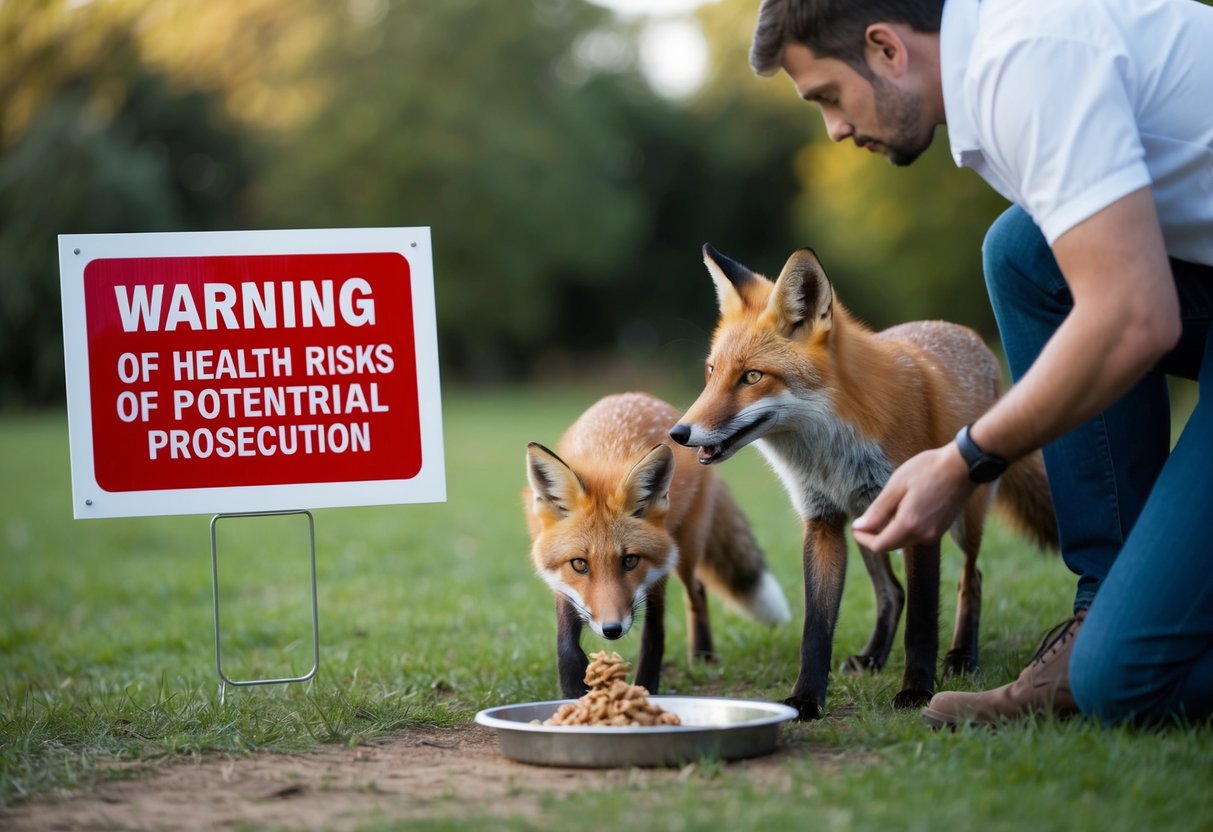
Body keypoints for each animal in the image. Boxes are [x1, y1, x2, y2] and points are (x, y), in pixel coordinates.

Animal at [525, 392, 791, 698]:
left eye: (630, 560)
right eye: (579, 564)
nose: (612, 630)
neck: (607, 454)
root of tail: (636, 395)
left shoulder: (658, 571)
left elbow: (654, 637)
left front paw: (645, 690)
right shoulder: (561, 581)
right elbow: (566, 643)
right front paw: (575, 691)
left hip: (686, 549)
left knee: (696, 591)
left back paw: (703, 655)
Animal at [669, 245, 1058, 720]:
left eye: (753, 377)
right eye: (711, 371)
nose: (679, 434)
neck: (830, 455)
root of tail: (960, 331)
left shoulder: (920, 514)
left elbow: (922, 622)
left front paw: (916, 691)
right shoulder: (823, 521)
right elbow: (816, 629)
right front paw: (806, 699)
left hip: (966, 514)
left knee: (973, 578)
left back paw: (963, 656)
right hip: (867, 522)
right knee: (892, 592)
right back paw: (873, 656)